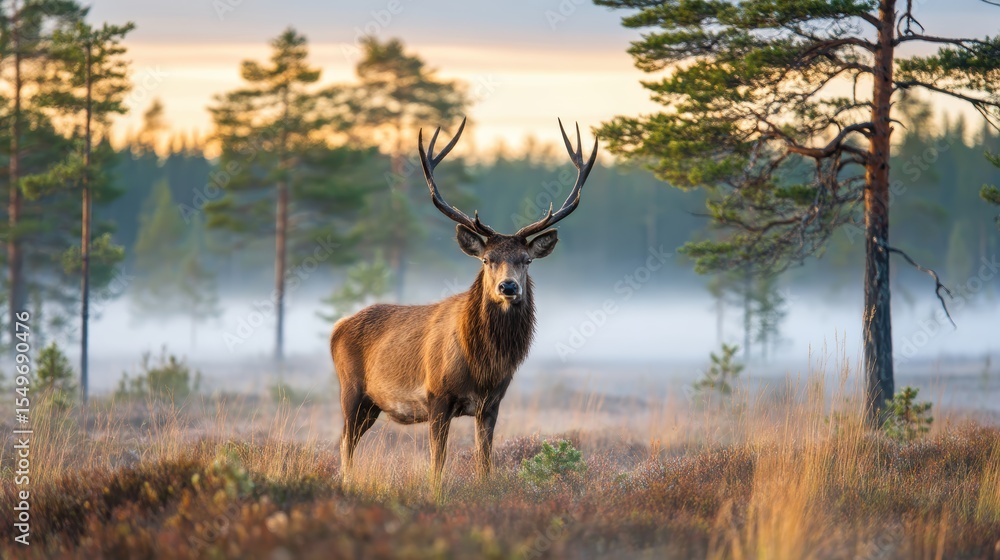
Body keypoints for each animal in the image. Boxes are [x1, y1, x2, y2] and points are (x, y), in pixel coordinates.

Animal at [330, 117, 597, 487]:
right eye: (486, 259)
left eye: (526, 260)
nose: (508, 286)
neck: (483, 366)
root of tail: (337, 329)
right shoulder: (436, 396)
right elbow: (437, 464)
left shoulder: (492, 403)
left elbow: (484, 463)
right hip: (351, 390)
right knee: (344, 443)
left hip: (372, 405)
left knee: (348, 440)